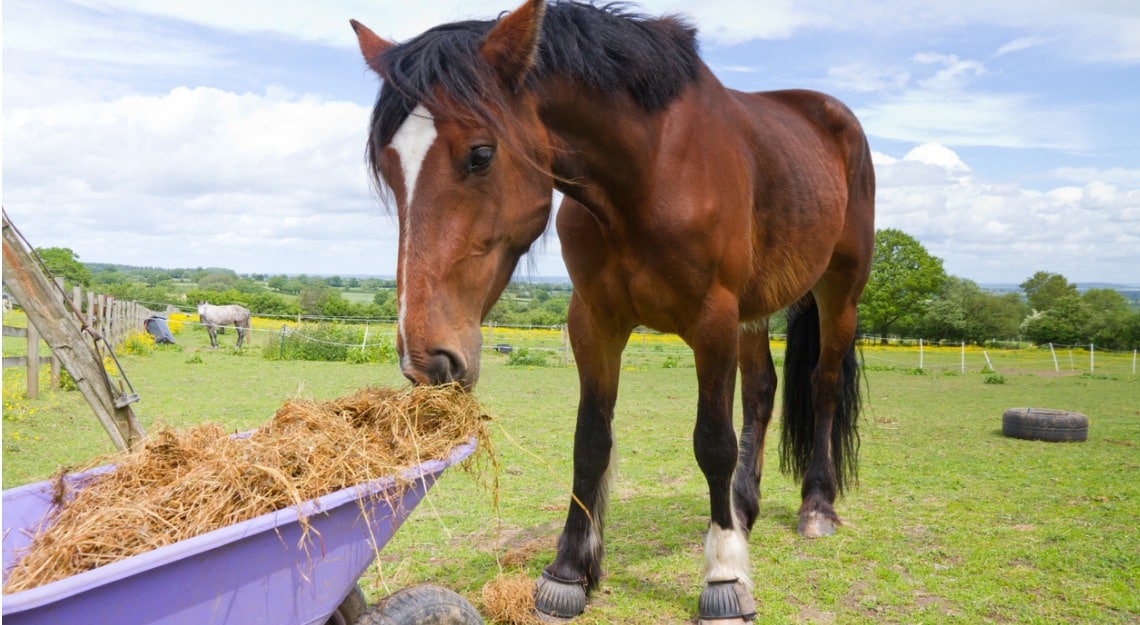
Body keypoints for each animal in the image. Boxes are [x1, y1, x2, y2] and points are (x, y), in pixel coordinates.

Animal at [351, 1, 874, 621]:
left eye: (480, 154)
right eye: (388, 168)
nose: (425, 359)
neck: (650, 170)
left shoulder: (713, 321)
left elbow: (713, 443)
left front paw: (724, 576)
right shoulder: (595, 322)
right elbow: (590, 441)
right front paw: (570, 570)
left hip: (839, 292)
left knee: (822, 388)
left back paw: (816, 506)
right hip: (754, 312)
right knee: (762, 391)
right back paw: (744, 507)